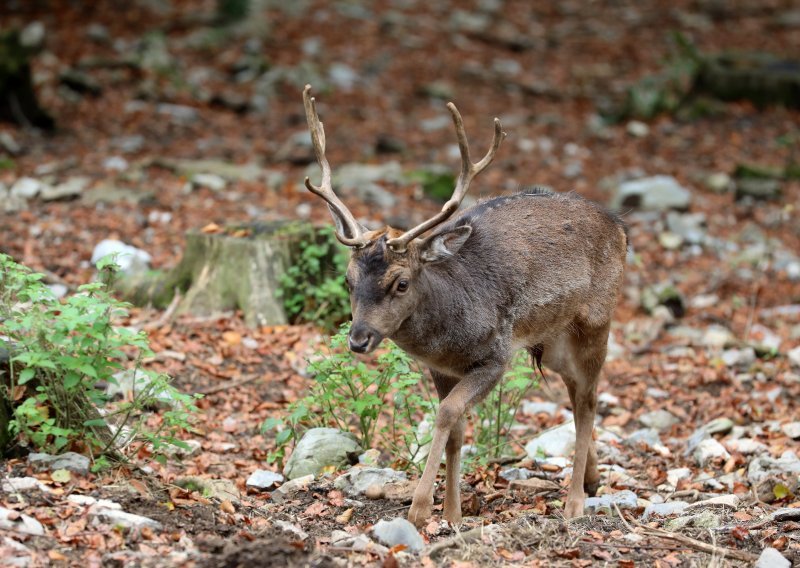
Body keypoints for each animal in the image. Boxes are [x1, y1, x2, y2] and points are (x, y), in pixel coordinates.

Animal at [304, 85, 628, 528]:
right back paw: (593, 479)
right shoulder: (441, 369)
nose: (358, 339)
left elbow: (446, 414)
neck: (448, 337)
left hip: (597, 320)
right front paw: (453, 513)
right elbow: (455, 428)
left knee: (589, 400)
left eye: (401, 282)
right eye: (348, 280)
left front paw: (421, 509)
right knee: (575, 389)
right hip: (552, 340)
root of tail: (621, 226)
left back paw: (575, 501)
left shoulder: (495, 357)